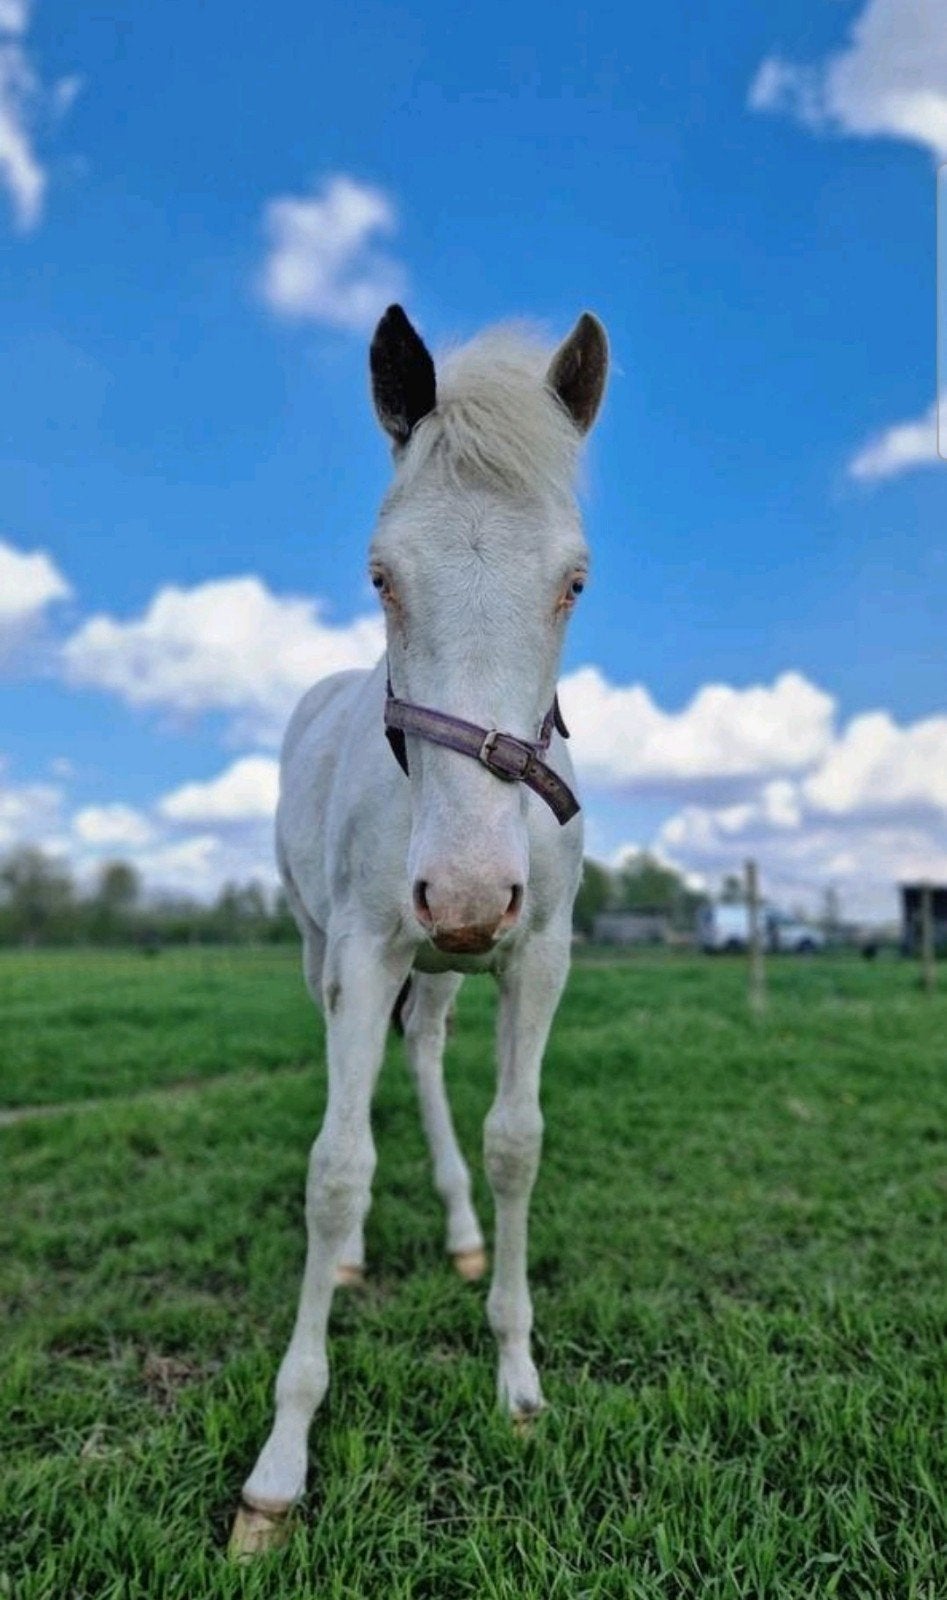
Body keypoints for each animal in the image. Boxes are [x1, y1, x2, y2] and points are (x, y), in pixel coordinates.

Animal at [230, 304, 609, 1556]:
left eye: (573, 580)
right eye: (381, 574)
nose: (464, 889)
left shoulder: (534, 955)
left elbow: (514, 1141)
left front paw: (518, 1381)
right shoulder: (364, 946)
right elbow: (336, 1167)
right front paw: (279, 1465)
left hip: (447, 965)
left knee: (431, 1054)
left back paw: (455, 1228)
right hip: (335, 949)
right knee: (354, 1077)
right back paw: (351, 1262)